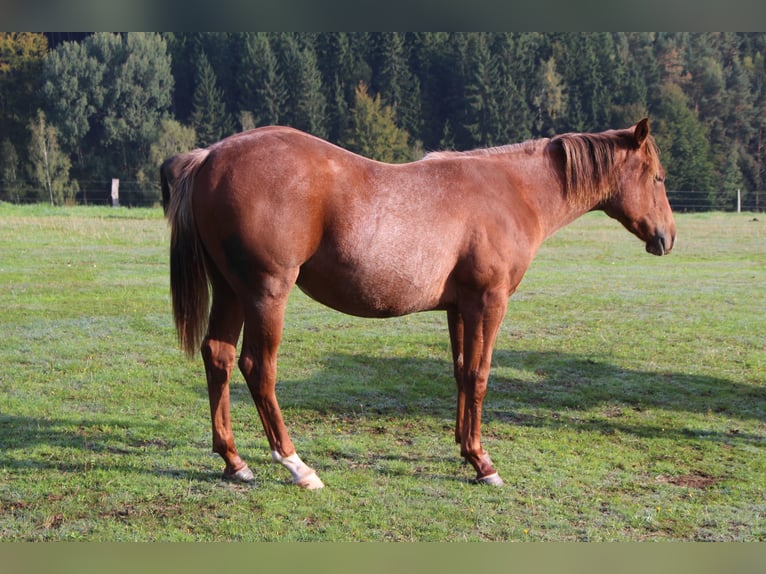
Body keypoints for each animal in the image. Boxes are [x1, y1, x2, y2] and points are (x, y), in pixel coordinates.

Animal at [161, 118, 675, 489]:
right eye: (658, 177)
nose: (667, 238)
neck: (512, 191)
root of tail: (211, 156)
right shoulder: (488, 303)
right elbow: (480, 375)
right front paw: (484, 463)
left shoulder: (459, 308)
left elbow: (462, 372)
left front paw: (466, 450)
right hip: (266, 292)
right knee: (257, 367)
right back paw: (297, 466)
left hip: (232, 291)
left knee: (219, 357)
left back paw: (234, 461)